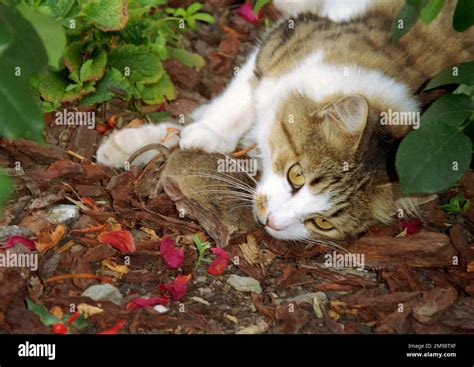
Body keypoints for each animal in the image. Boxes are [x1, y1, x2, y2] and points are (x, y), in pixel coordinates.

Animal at [96, 0, 474, 242]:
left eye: (321, 222)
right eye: (296, 175)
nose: (272, 222)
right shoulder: (283, 43)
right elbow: (235, 100)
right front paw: (201, 132)